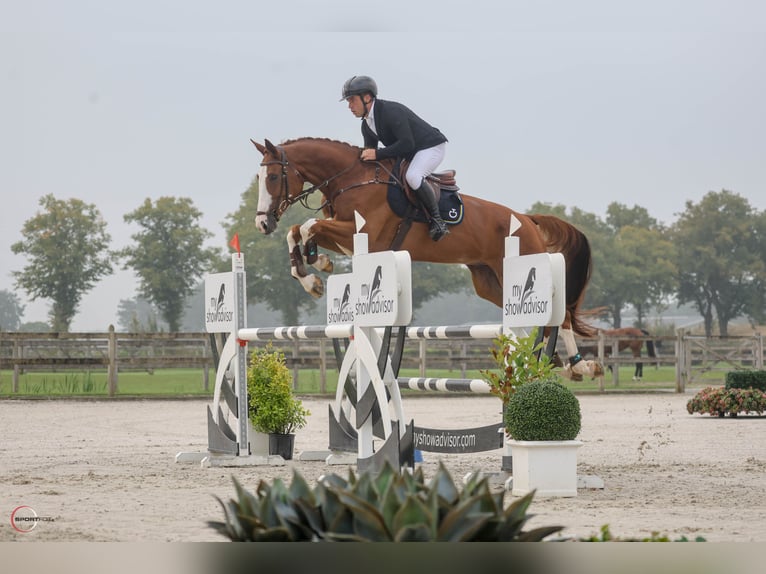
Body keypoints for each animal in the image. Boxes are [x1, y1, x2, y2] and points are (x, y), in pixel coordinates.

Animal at [255, 137, 604, 380]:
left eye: (272, 177)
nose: (262, 223)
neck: (351, 179)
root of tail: (526, 218)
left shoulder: (363, 232)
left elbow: (308, 225)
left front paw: (315, 268)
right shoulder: (347, 239)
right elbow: (299, 231)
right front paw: (313, 273)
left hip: (520, 267)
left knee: (562, 315)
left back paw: (581, 366)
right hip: (489, 282)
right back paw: (558, 362)